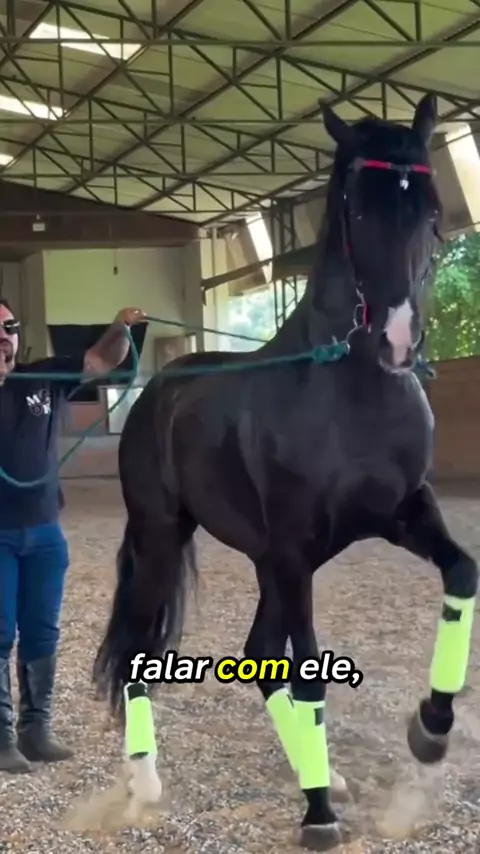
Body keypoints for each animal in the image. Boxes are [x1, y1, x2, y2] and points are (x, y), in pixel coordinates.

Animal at [92, 93, 478, 850]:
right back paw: (146, 787)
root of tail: (158, 390)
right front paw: (319, 815)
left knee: (258, 650)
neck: (350, 389)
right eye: (357, 209)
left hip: (271, 561)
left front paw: (430, 733)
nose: (396, 340)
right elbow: (308, 677)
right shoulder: (297, 546)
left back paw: (325, 774)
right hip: (165, 538)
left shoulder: (403, 513)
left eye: (427, 209)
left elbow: (463, 574)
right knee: (139, 653)